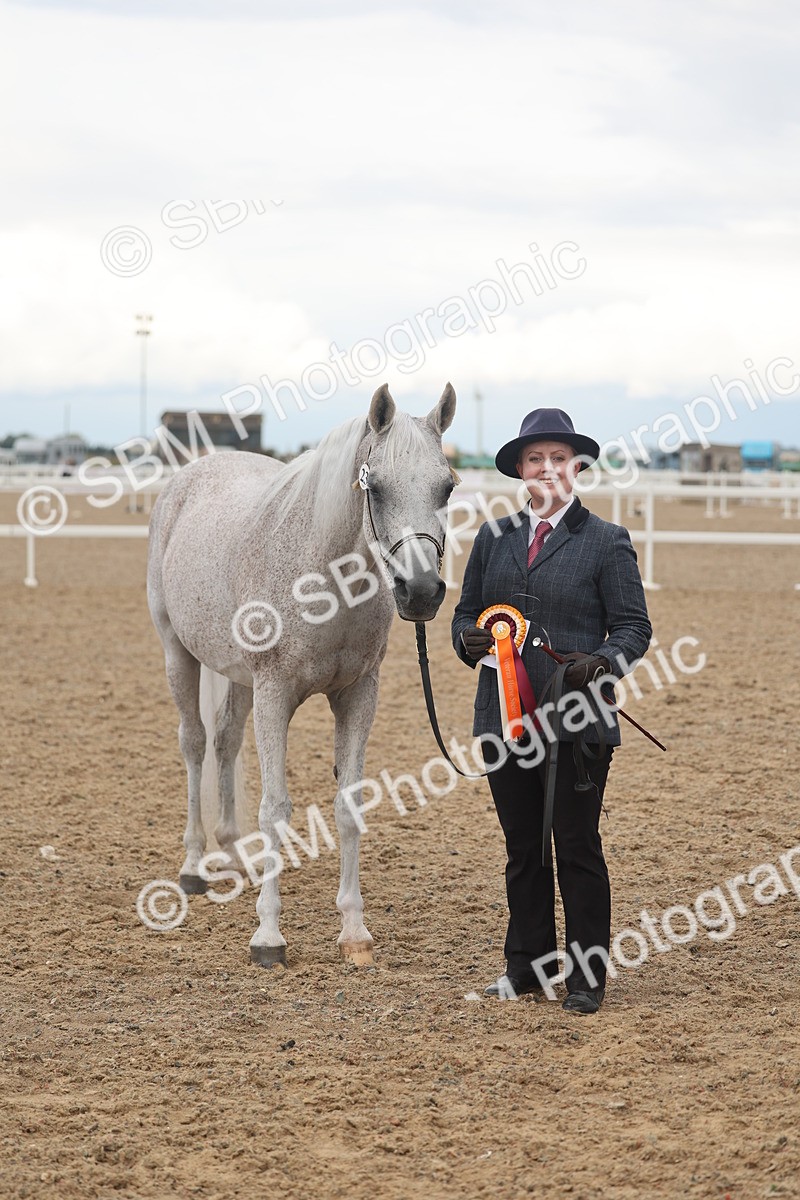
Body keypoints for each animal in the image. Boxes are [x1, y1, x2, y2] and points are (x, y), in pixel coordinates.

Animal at [146, 383, 456, 966]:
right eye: (375, 488)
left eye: (447, 487)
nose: (422, 592)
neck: (324, 581)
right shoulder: (274, 693)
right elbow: (275, 809)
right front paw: (268, 936)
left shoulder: (358, 695)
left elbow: (349, 805)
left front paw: (354, 931)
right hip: (179, 654)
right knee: (194, 744)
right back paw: (194, 865)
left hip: (237, 677)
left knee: (224, 741)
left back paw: (235, 856)